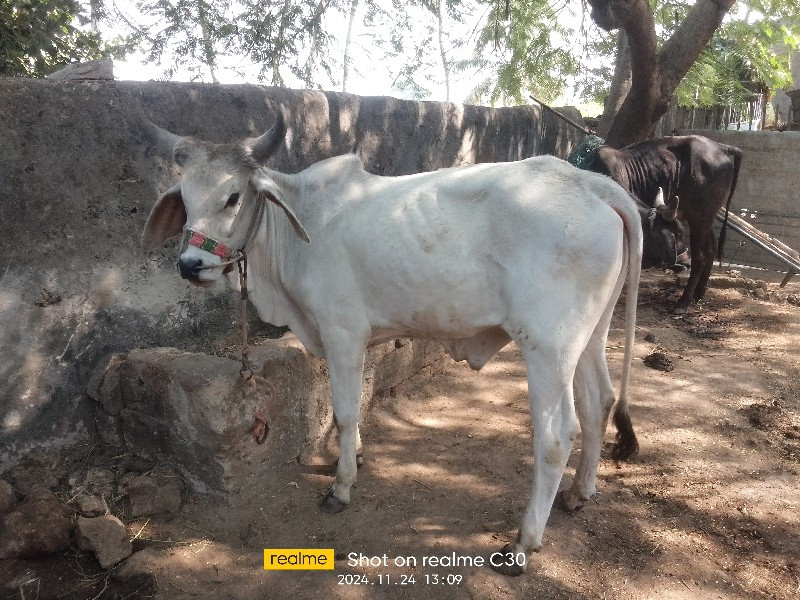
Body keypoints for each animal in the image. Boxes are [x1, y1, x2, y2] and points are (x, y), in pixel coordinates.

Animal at [141, 108, 644, 576]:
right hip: (588, 338)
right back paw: (579, 493)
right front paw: (359, 454)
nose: (190, 264)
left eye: (232, 197)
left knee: (557, 435)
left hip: (548, 348)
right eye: (185, 199)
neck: (298, 229)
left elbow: (343, 412)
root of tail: (590, 183)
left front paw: (341, 485)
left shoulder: (342, 332)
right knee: (600, 401)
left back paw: (524, 543)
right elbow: (355, 407)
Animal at [592, 135, 740, 314]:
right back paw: (698, 293)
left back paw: (683, 302)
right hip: (706, 218)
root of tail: (719, 147)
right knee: (711, 248)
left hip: (700, 217)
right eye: (677, 235)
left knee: (700, 255)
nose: (684, 262)